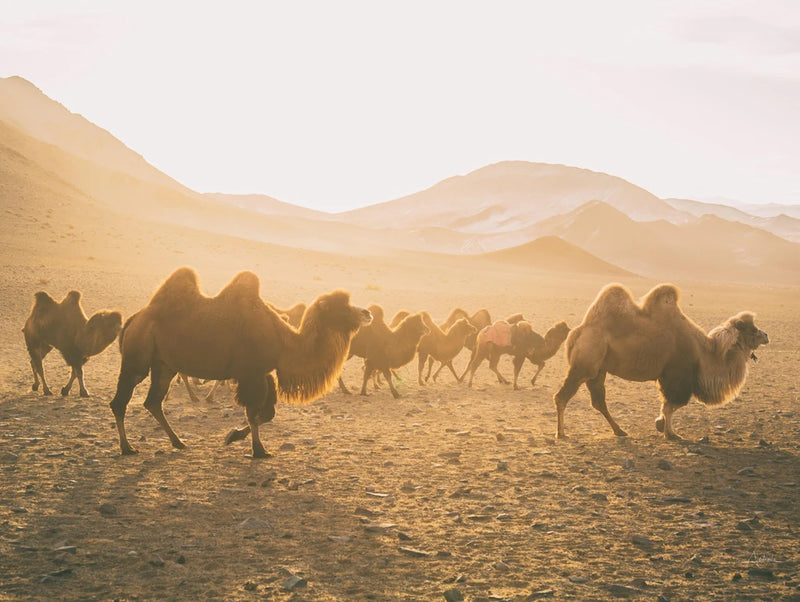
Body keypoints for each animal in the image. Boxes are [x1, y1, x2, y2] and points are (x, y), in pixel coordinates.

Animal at [109, 267, 371, 457]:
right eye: (342, 306)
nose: (367, 313)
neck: (284, 341)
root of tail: (133, 318)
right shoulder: (251, 374)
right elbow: (254, 414)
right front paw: (259, 450)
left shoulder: (263, 374)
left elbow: (267, 414)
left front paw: (233, 435)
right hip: (137, 358)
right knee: (120, 401)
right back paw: (127, 447)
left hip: (165, 365)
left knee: (153, 402)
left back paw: (178, 442)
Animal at [553, 283, 769, 440]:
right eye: (752, 329)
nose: (766, 335)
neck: (704, 353)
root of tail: (578, 331)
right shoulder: (677, 375)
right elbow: (673, 404)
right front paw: (669, 432)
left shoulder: (671, 377)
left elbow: (669, 405)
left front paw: (662, 426)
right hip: (584, 364)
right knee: (562, 396)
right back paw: (561, 433)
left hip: (599, 369)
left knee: (598, 401)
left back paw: (620, 431)